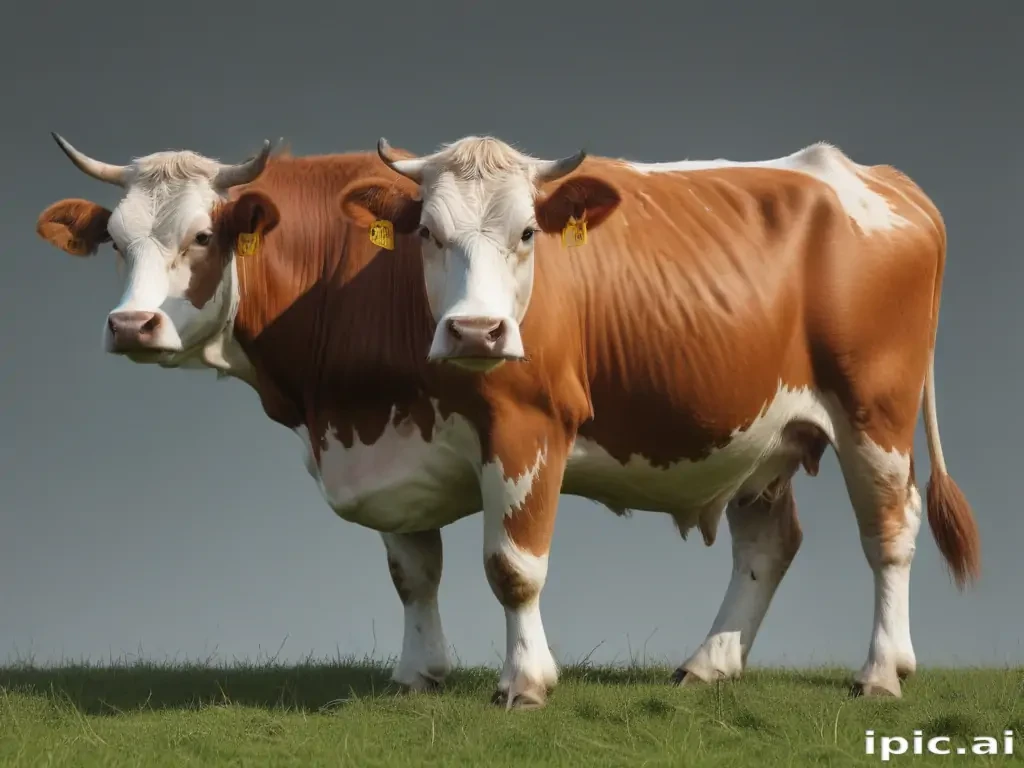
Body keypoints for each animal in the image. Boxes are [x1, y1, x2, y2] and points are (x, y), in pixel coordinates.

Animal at [333, 135, 982, 704]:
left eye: (527, 232)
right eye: (427, 232)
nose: (475, 331)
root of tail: (885, 182)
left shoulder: (528, 427)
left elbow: (513, 567)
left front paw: (524, 683)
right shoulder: (392, 456)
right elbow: (412, 571)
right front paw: (415, 676)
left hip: (875, 411)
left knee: (890, 530)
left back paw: (881, 671)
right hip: (766, 435)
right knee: (771, 542)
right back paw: (709, 663)